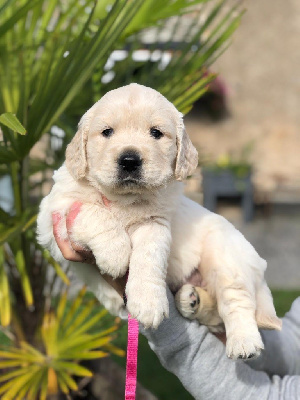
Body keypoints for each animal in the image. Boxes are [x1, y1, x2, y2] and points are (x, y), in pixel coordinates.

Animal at [37, 83, 282, 360]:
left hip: (226, 260)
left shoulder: (154, 223)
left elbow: (148, 257)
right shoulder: (52, 214)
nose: (129, 160)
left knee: (237, 302)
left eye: (156, 133)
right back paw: (190, 299)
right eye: (107, 132)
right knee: (216, 315)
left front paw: (148, 303)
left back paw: (243, 343)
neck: (124, 199)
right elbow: (93, 211)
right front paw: (115, 253)